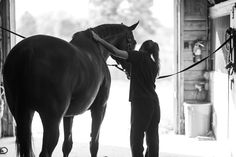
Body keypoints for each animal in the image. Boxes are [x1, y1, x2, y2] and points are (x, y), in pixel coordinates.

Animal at [2, 22, 138, 157]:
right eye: (133, 42)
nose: (131, 70)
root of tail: (28, 51)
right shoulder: (100, 108)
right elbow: (94, 143)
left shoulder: (69, 114)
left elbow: (67, 145)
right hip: (51, 120)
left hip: (24, 114)